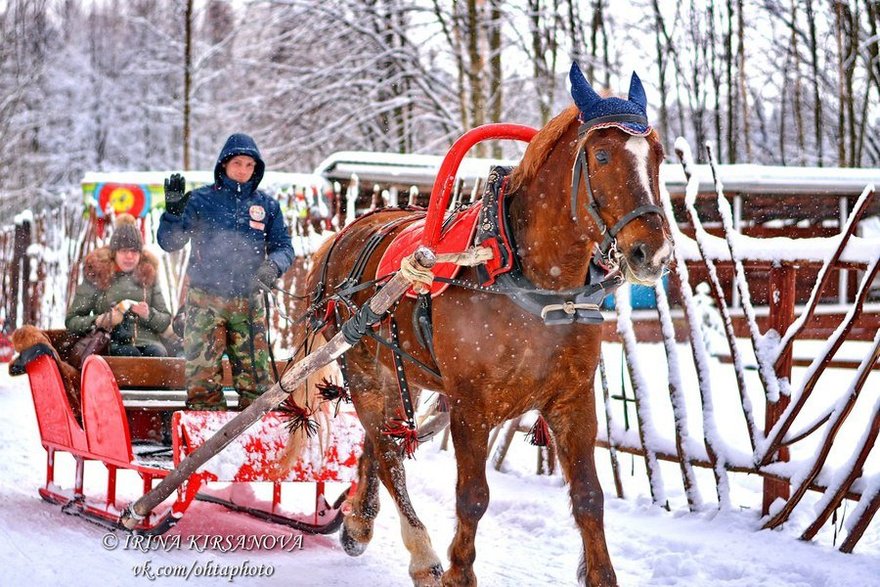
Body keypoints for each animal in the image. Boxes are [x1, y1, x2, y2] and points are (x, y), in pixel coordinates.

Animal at [306, 66, 672, 584]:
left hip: (399, 375)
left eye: (656, 156)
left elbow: (589, 498)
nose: (653, 252)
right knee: (389, 451)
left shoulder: (573, 399)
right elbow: (473, 497)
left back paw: (359, 520)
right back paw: (420, 551)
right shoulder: (470, 407)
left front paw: (601, 574)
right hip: (362, 371)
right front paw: (459, 571)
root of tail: (344, 234)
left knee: (379, 444)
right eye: (601, 155)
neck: (531, 281)